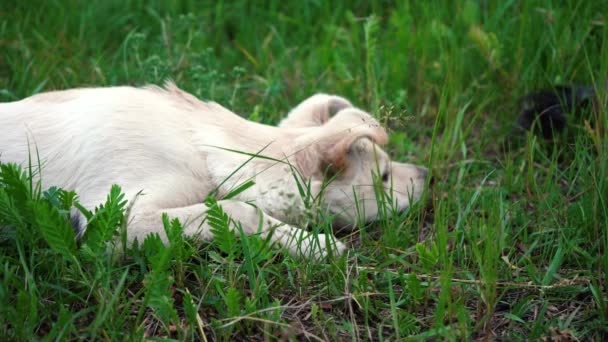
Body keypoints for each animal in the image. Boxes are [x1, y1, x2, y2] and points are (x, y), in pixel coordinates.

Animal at [0, 83, 428, 258]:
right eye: (383, 178)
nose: (429, 175)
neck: (203, 146)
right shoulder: (113, 221)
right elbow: (241, 210)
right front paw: (314, 245)